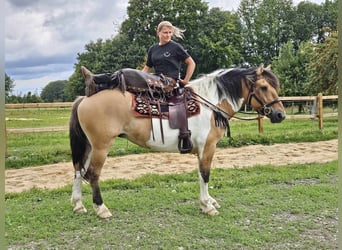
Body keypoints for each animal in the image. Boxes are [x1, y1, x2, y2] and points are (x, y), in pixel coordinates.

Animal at [69, 65, 286, 219]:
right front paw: (207, 206)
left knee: (79, 171)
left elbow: (200, 174)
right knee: (93, 174)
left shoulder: (201, 150)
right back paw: (101, 209)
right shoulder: (208, 147)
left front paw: (209, 201)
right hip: (101, 147)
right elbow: (205, 174)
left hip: (89, 146)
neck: (210, 103)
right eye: (264, 87)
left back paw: (79, 205)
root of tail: (84, 99)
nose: (280, 115)